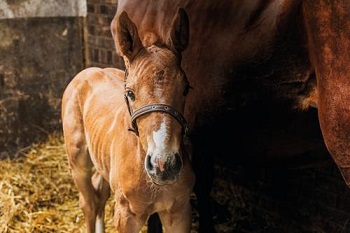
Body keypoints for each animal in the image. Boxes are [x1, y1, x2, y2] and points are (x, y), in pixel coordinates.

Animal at [61, 7, 196, 233]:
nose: (163, 165)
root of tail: (89, 71)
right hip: (77, 159)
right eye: (130, 93)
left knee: (100, 192)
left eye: (186, 89)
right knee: (88, 203)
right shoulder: (126, 216)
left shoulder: (179, 212)